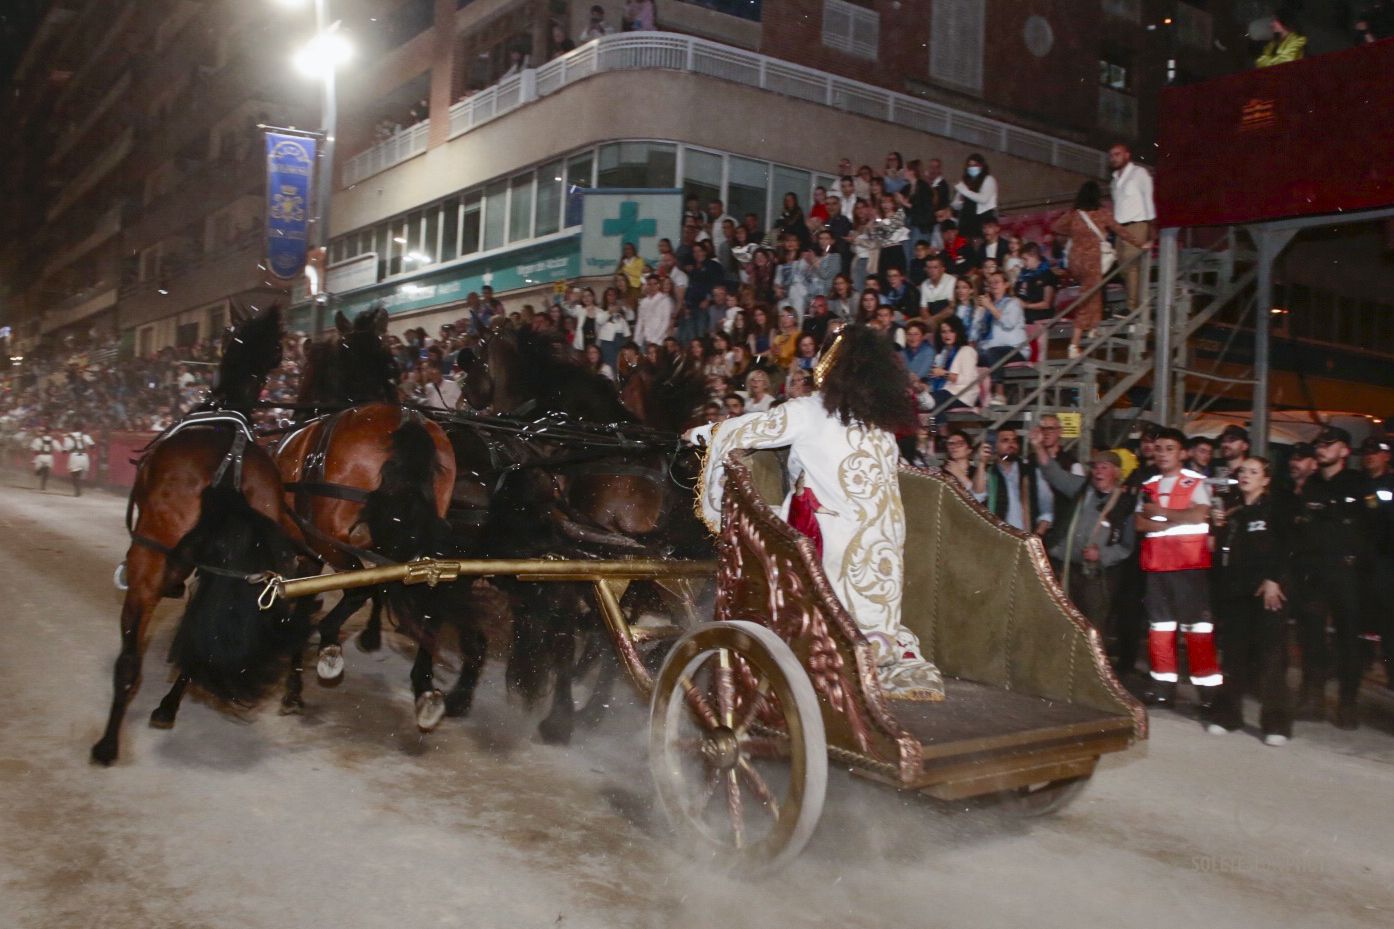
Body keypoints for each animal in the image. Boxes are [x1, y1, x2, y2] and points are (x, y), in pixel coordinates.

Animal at [94, 306, 308, 764]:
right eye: (279, 351)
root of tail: (228, 466)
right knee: (196, 643)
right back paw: (167, 706)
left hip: (148, 561)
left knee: (130, 661)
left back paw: (107, 744)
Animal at [271, 304, 479, 725]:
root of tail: (408, 421)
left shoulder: (309, 550)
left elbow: (305, 603)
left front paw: (294, 687)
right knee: (422, 591)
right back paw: (424, 688)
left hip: (333, 540)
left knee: (362, 584)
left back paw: (330, 641)